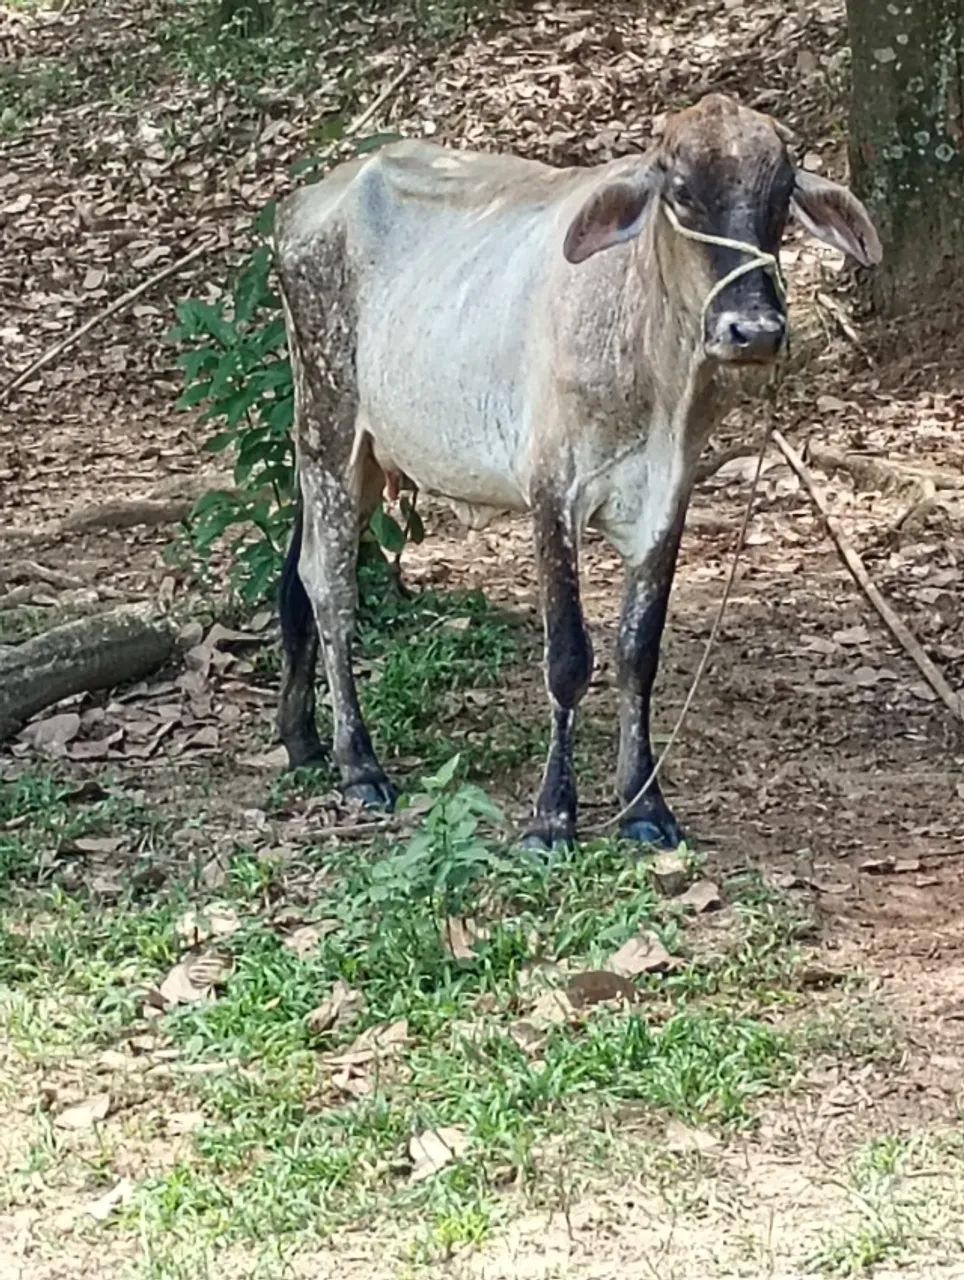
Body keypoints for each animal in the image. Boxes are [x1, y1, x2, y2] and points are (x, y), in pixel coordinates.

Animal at [273, 93, 881, 850]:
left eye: (779, 198)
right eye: (682, 192)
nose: (755, 331)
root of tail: (308, 199)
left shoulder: (667, 497)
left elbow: (637, 652)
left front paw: (645, 806)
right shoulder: (552, 490)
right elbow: (568, 659)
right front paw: (551, 815)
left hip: (355, 457)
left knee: (297, 575)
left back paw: (302, 739)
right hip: (328, 423)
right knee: (329, 586)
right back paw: (358, 763)